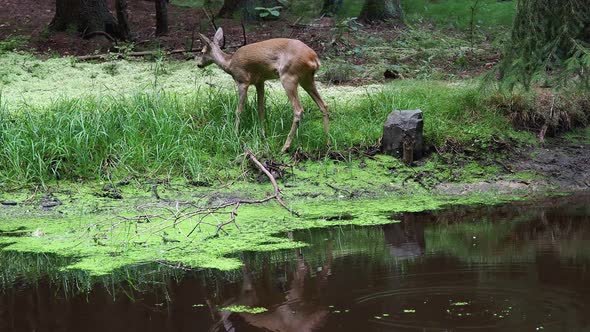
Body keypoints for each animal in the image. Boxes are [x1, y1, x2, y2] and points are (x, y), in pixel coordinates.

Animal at [197, 27, 330, 152]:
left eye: (202, 51)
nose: (198, 64)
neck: (229, 64)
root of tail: (314, 58)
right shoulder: (260, 81)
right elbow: (260, 108)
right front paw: (263, 135)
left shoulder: (243, 81)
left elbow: (239, 110)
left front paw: (234, 134)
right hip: (307, 79)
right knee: (323, 104)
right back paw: (327, 142)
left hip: (289, 76)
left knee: (298, 110)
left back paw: (285, 147)